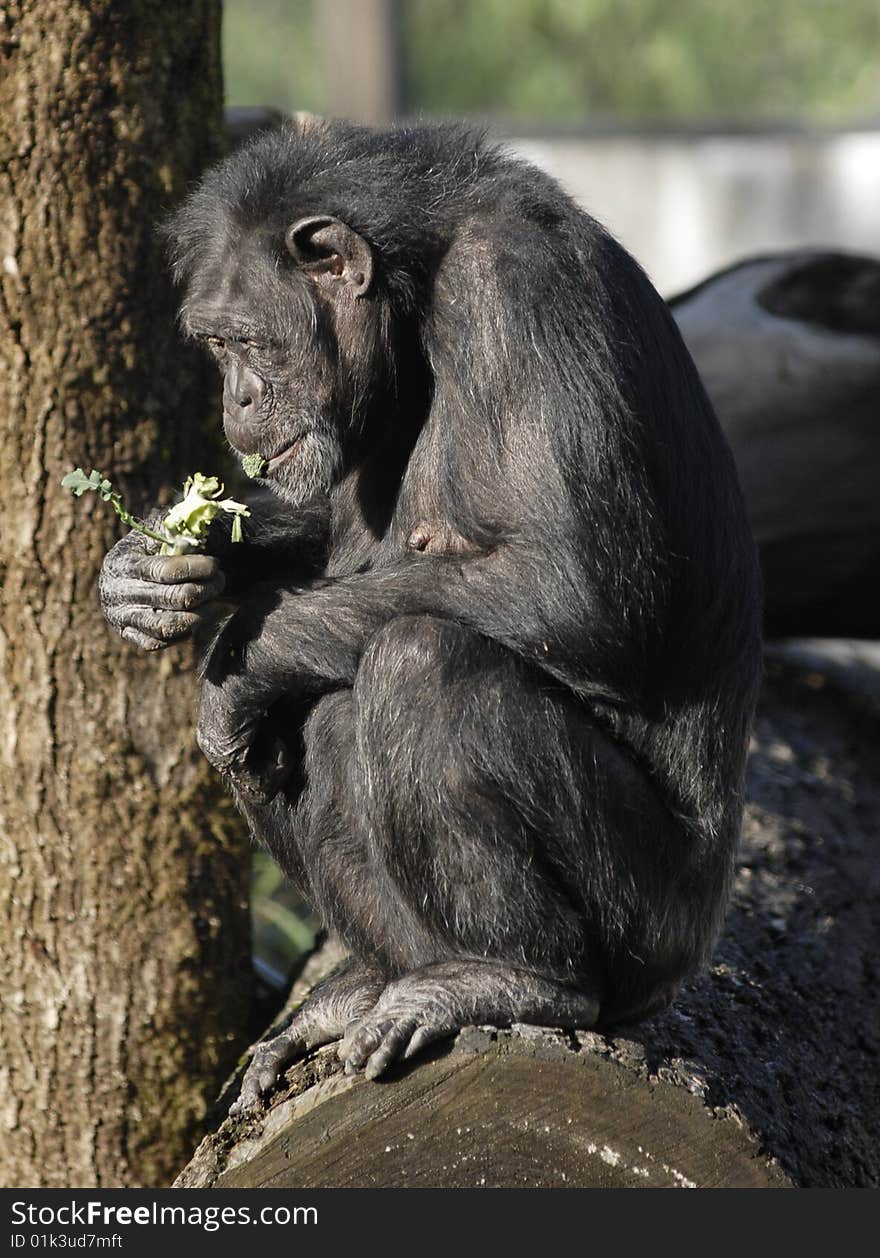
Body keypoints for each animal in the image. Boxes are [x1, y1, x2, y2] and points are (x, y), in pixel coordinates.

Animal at [96, 115, 759, 1102]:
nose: (235, 396)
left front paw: (232, 665)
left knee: (421, 664)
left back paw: (513, 978)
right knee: (317, 717)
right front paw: (146, 571)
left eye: (246, 342)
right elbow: (322, 543)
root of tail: (697, 949)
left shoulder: (519, 292)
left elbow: (573, 587)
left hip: (651, 928)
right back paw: (371, 985)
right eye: (214, 347)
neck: (418, 298)